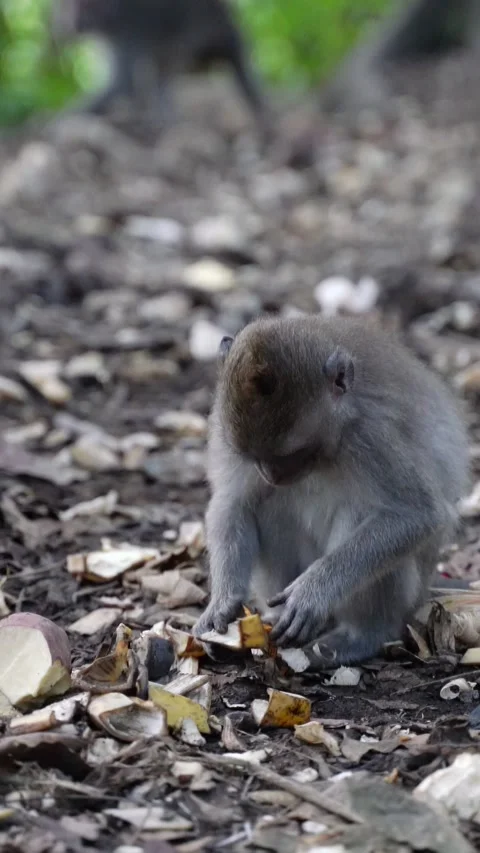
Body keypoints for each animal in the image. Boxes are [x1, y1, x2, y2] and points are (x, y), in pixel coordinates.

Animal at [51, 0, 270, 131]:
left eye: (77, 7)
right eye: (66, 9)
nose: (66, 23)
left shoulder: (126, 32)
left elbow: (122, 85)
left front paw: (61, 119)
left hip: (205, 33)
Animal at [192, 315, 470, 667]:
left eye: (292, 453)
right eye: (254, 456)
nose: (270, 474)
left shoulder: (371, 435)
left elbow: (418, 514)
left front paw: (313, 592)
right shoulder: (223, 427)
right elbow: (232, 504)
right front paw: (223, 605)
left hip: (409, 594)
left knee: (362, 513)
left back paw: (361, 635)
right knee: (268, 505)